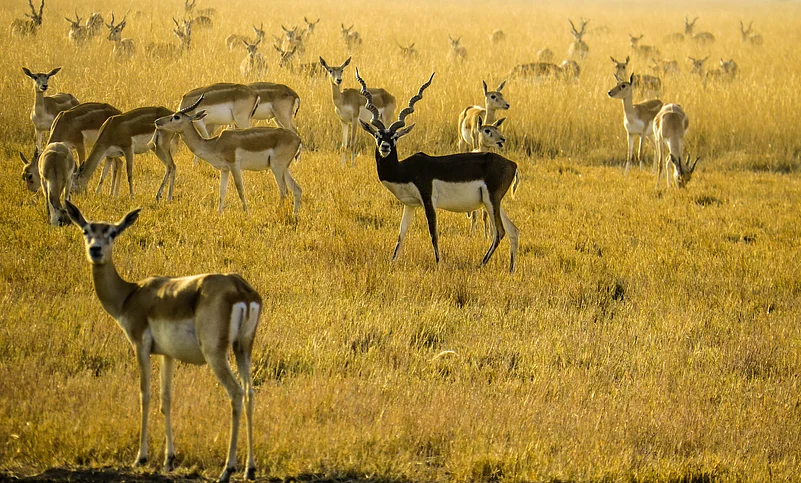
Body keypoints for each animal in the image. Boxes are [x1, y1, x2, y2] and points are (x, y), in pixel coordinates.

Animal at [64, 200, 262, 483]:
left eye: (112, 233)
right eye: (86, 230)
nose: (95, 250)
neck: (129, 295)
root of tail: (240, 288)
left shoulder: (140, 345)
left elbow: (144, 395)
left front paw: (141, 457)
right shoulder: (167, 355)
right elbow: (166, 399)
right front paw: (170, 459)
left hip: (216, 354)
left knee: (235, 393)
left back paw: (227, 469)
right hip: (243, 348)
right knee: (250, 394)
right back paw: (250, 468)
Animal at [155, 96, 303, 214]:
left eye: (176, 117)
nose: (157, 122)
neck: (215, 143)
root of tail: (298, 139)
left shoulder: (234, 166)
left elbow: (240, 190)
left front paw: (246, 214)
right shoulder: (224, 169)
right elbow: (222, 192)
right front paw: (219, 214)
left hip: (277, 168)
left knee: (284, 191)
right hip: (283, 168)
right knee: (297, 189)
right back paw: (294, 214)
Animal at [356, 69, 520, 273]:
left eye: (394, 137)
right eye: (378, 135)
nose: (385, 147)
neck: (404, 170)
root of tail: (512, 164)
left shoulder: (428, 200)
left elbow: (433, 232)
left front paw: (438, 263)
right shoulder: (410, 205)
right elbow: (401, 233)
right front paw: (392, 262)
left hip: (491, 201)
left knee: (500, 232)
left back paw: (482, 263)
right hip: (495, 202)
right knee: (513, 230)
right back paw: (511, 270)